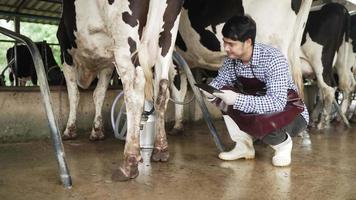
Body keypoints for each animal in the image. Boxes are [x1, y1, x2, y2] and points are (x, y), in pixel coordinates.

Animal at [57, 0, 185, 180]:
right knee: (162, 88)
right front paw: (97, 131)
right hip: (167, 39)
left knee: (135, 88)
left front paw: (69, 130)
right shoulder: (107, 64)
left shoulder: (65, 51)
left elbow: (74, 94)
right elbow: (99, 94)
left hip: (125, 41)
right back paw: (161, 150)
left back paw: (129, 163)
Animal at [298, 2, 354, 130]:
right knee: (344, 86)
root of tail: (339, 7)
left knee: (328, 88)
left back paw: (321, 122)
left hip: (320, 62)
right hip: (341, 64)